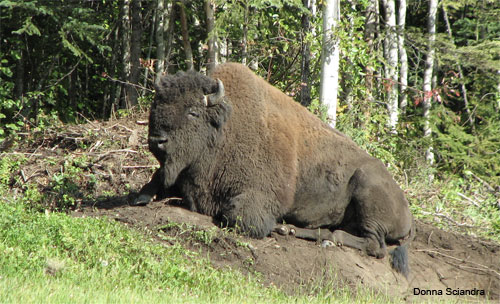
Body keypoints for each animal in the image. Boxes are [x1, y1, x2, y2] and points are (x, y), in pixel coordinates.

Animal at [134, 63, 414, 276]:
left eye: (192, 112)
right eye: (155, 106)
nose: (157, 139)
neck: (224, 129)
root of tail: (407, 209)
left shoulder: (256, 197)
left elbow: (239, 218)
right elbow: (152, 184)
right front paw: (139, 196)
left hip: (367, 191)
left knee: (374, 245)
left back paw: (323, 239)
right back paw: (294, 230)